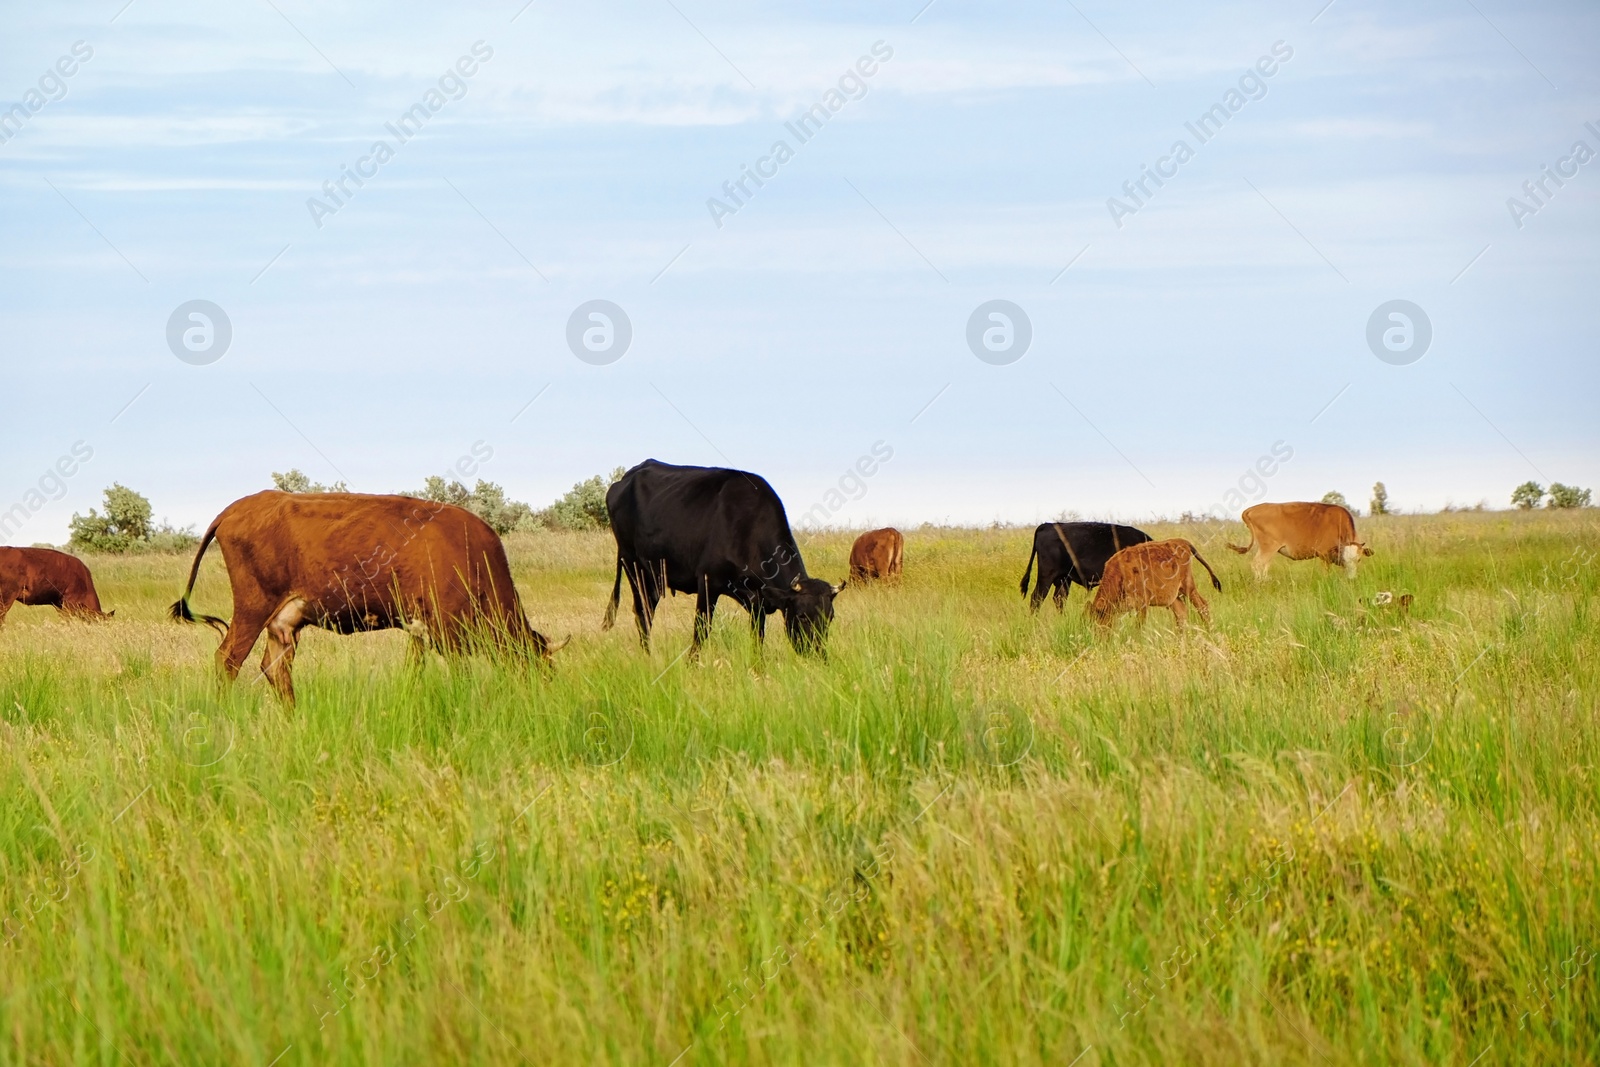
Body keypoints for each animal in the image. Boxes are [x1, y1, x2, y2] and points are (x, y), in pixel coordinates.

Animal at [168, 489, 566, 703]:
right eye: (541, 668)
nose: (546, 696)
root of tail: (235, 508)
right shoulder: (445, 630)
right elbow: (458, 673)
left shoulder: (419, 631)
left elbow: (414, 670)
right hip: (252, 609)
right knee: (228, 659)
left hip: (284, 621)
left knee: (274, 666)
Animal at [601, 460, 851, 655]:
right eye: (802, 616)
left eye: (830, 618)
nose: (818, 654)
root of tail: (628, 475)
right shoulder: (707, 583)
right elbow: (701, 631)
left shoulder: (758, 602)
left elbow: (757, 638)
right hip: (633, 565)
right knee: (643, 613)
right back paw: (648, 655)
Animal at [1088, 537, 1222, 630]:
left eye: (1097, 622)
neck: (1119, 572)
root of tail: (1182, 542)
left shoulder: (1142, 603)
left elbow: (1139, 626)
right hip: (1175, 596)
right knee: (1181, 613)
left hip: (1188, 587)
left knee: (1202, 606)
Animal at [1222, 502, 1376, 579]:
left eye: (1359, 560)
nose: (1352, 579)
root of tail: (1251, 509)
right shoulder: (1324, 555)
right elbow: (1326, 573)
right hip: (1268, 548)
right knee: (1257, 564)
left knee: (1264, 566)